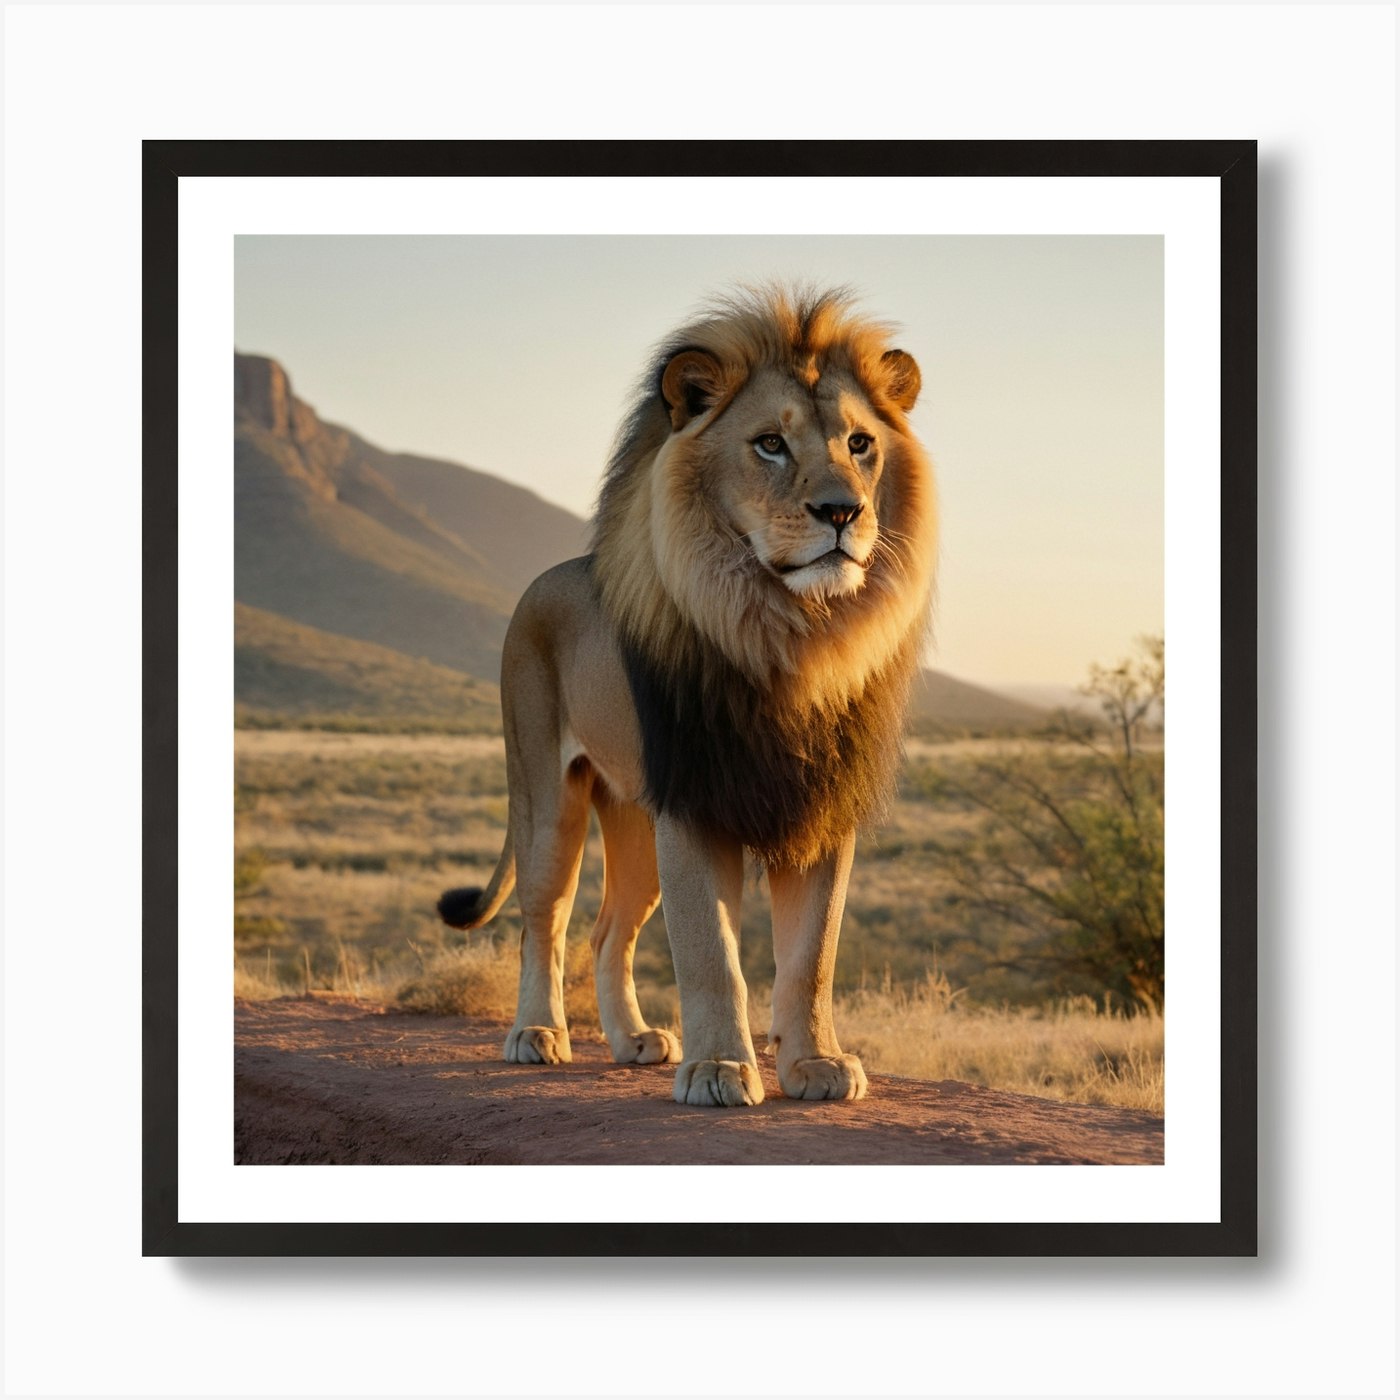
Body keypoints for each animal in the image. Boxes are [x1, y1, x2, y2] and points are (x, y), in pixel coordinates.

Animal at [438, 286, 938, 1106]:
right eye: (770, 444)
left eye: (860, 444)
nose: (842, 513)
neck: (792, 635)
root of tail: (547, 579)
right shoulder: (697, 803)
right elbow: (712, 954)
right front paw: (719, 1069)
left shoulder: (821, 808)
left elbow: (812, 958)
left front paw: (815, 1063)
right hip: (549, 802)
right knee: (545, 920)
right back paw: (536, 1034)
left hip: (637, 820)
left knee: (609, 931)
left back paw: (632, 1039)